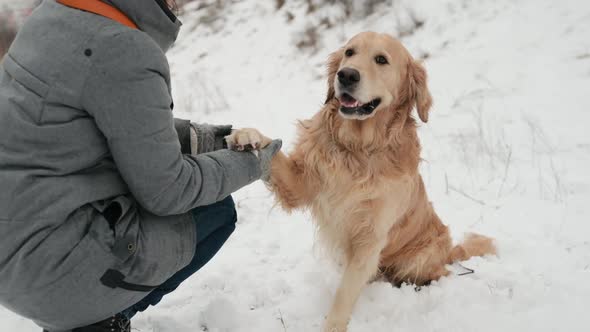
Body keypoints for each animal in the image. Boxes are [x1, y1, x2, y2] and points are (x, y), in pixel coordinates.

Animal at [229, 31, 498, 332]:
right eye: (349, 52)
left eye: (381, 59)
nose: (346, 75)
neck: (358, 147)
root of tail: (449, 250)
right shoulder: (301, 183)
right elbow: (273, 155)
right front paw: (247, 135)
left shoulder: (370, 235)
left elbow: (346, 291)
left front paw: (333, 326)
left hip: (418, 259)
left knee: (437, 272)